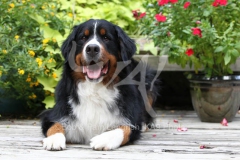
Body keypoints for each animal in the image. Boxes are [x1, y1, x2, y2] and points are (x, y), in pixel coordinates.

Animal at [41, 19, 159, 151]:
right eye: (83, 37)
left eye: (106, 38)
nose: (92, 48)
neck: (95, 89)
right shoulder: (54, 114)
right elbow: (55, 124)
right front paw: (54, 139)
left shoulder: (131, 120)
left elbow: (124, 128)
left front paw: (104, 139)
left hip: (148, 78)